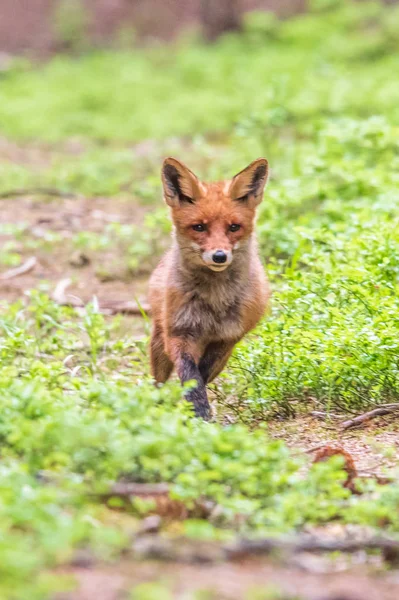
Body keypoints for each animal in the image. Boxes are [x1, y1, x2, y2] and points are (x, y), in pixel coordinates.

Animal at [148, 157, 270, 420]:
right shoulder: (179, 334)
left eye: (234, 227)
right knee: (158, 382)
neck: (214, 301)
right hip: (158, 345)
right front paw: (198, 411)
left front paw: (197, 412)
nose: (219, 256)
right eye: (199, 227)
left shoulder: (227, 339)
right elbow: (190, 375)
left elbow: (200, 376)